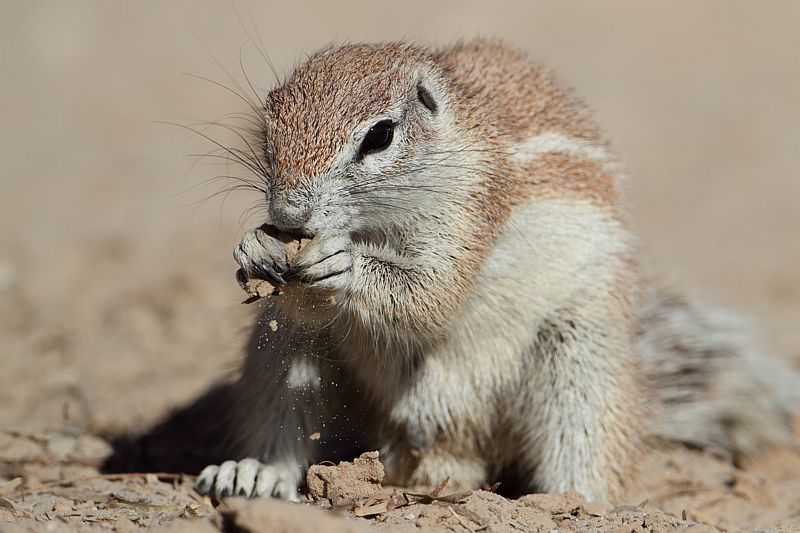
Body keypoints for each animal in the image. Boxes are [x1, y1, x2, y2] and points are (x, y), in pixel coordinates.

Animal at [195, 39, 800, 500]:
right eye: (268, 130)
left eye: (380, 136)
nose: (289, 215)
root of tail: (449, 441)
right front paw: (254, 248)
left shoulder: (471, 207)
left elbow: (431, 292)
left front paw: (339, 261)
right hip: (280, 352)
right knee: (285, 417)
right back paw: (253, 474)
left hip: (581, 360)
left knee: (586, 446)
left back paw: (570, 500)